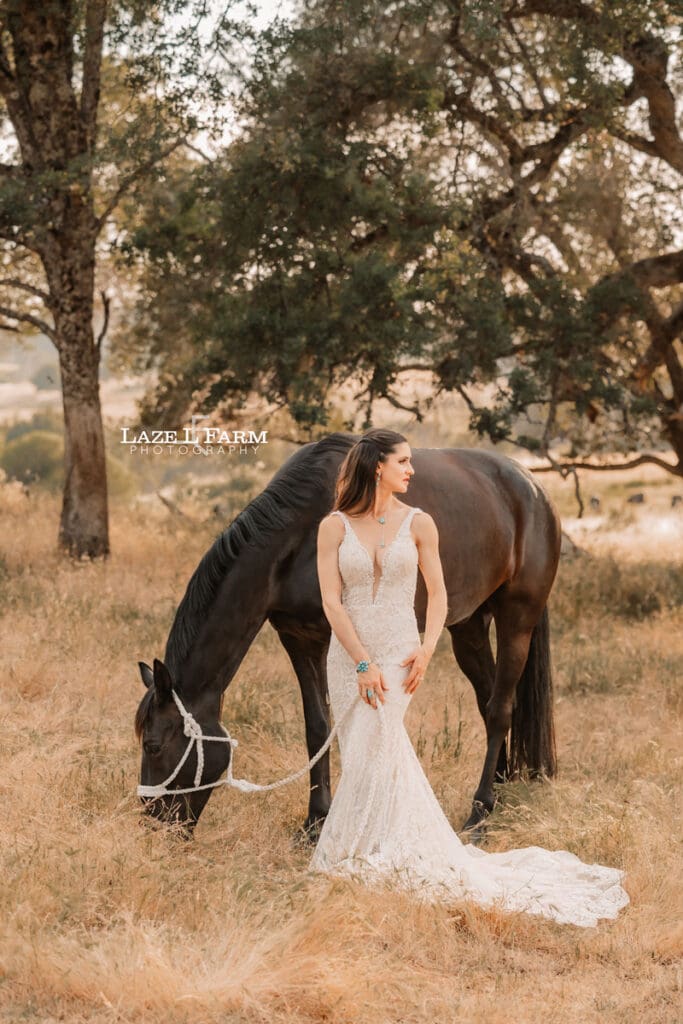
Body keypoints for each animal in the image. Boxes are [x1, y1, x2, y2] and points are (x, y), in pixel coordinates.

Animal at [135, 433, 561, 838]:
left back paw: (479, 813)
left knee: (500, 708)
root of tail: (534, 490)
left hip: (517, 620)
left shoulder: (331, 640)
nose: (152, 826)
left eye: (153, 745)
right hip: (467, 627)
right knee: (489, 701)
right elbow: (317, 727)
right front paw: (314, 822)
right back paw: (498, 791)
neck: (297, 534)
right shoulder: (298, 638)